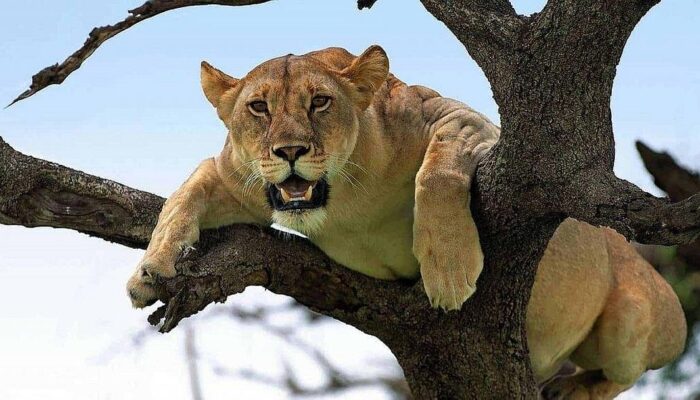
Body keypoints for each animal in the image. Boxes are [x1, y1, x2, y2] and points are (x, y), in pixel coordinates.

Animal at [126, 45, 686, 398]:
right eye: (259, 107)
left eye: (320, 101)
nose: (289, 151)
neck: (344, 197)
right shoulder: (233, 175)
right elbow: (185, 193)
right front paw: (149, 272)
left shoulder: (464, 121)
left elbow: (436, 173)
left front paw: (449, 272)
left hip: (634, 314)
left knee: (624, 372)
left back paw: (573, 390)